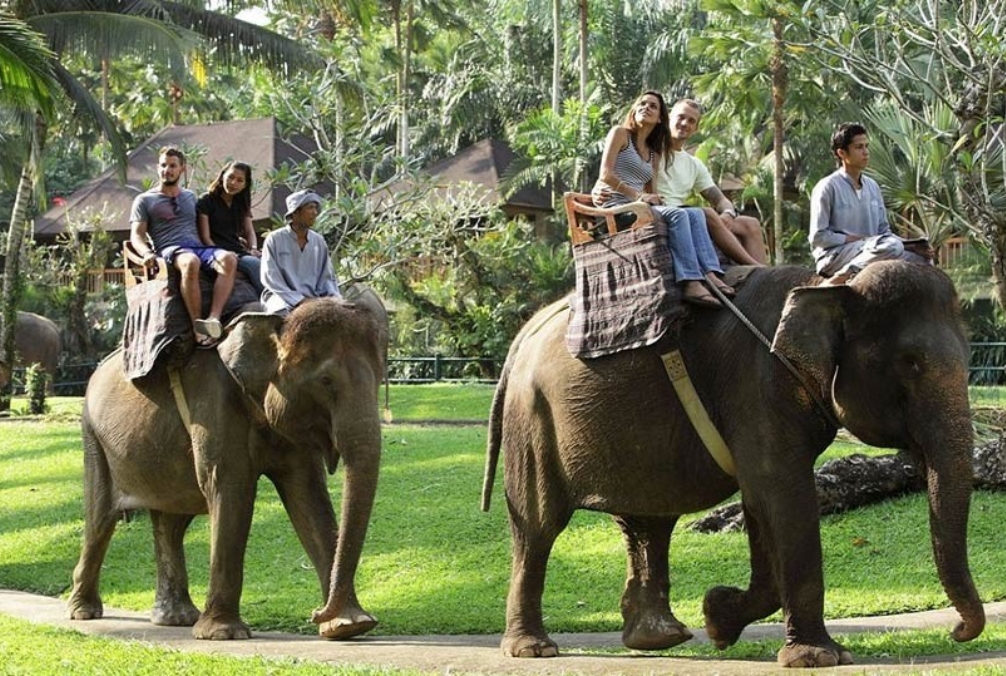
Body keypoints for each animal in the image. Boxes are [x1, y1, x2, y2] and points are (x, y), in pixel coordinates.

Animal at [67, 290, 388, 641]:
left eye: (380, 376)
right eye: (326, 381)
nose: (314, 613)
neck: (272, 325)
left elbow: (309, 497)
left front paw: (350, 625)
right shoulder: (214, 404)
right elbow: (231, 489)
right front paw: (223, 634)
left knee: (171, 521)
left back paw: (176, 618)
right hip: (93, 437)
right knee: (101, 518)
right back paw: (83, 612)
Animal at [480, 261, 984, 667]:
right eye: (911, 363)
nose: (957, 631)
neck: (828, 285)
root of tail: (525, 332)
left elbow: (761, 503)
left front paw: (717, 619)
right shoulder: (757, 385)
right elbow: (783, 496)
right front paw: (819, 658)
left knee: (648, 520)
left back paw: (659, 639)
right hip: (533, 420)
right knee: (539, 526)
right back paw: (534, 649)